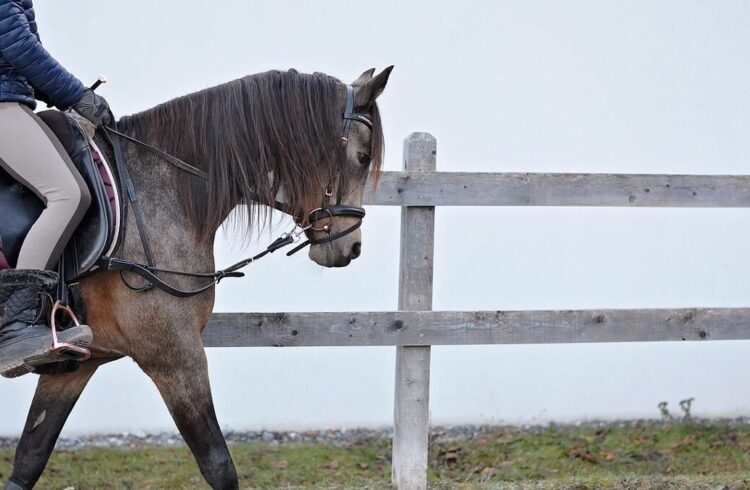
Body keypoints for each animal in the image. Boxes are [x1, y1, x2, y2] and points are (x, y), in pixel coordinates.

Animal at [4, 66, 394, 490]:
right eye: (362, 157)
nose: (350, 246)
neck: (153, 193)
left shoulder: (79, 361)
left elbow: (29, 458)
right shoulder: (175, 355)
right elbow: (218, 465)